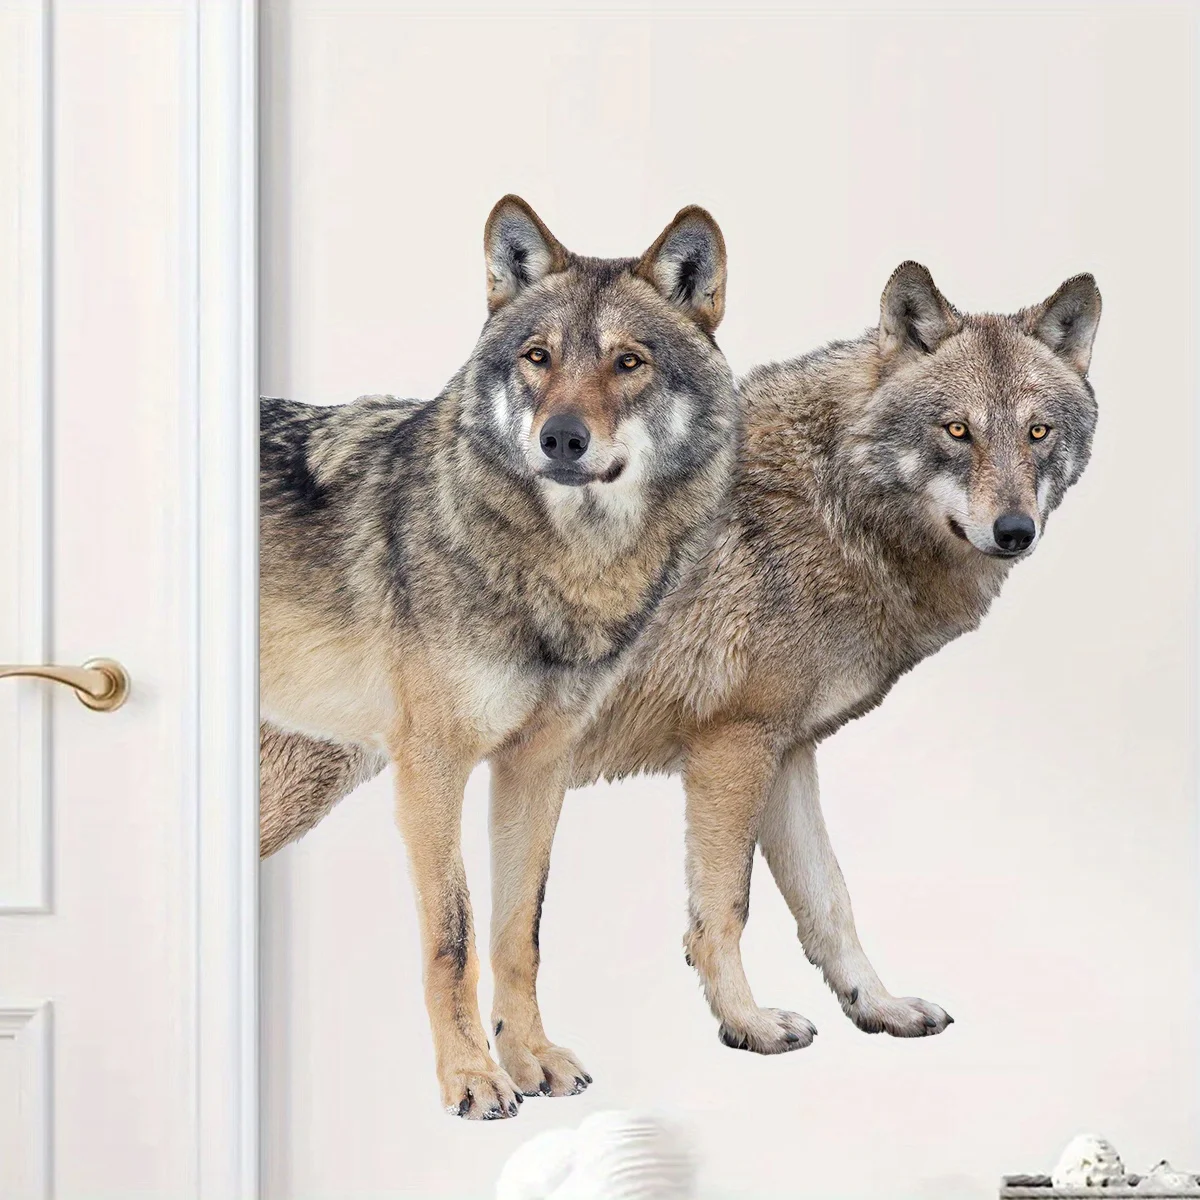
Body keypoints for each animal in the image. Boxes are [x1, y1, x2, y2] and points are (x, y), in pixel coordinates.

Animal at [259, 196, 738, 1119]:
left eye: (628, 362)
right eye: (537, 357)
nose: (561, 439)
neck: (563, 574)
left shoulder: (537, 768)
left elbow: (521, 932)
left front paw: (532, 1059)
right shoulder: (432, 771)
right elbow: (455, 936)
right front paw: (471, 1079)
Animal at [260, 261, 1100, 1065]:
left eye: (1038, 432)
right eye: (957, 430)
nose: (1015, 530)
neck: (830, 506)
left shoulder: (788, 752)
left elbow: (830, 902)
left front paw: (879, 1007)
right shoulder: (731, 747)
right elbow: (725, 910)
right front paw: (749, 1024)